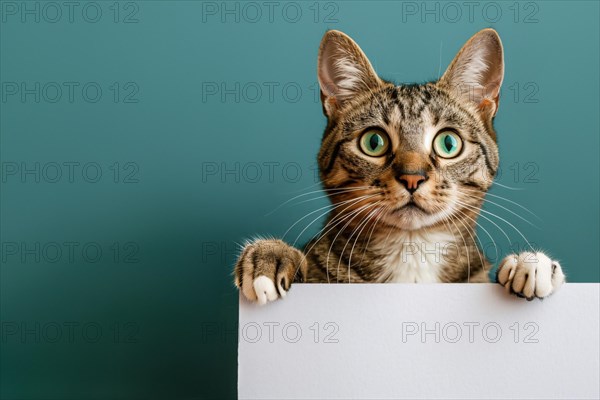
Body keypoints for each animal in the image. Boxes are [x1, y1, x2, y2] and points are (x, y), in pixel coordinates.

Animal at [233, 28, 564, 304]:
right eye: (373, 142)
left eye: (448, 143)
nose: (412, 177)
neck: (412, 251)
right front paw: (271, 255)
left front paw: (530, 264)